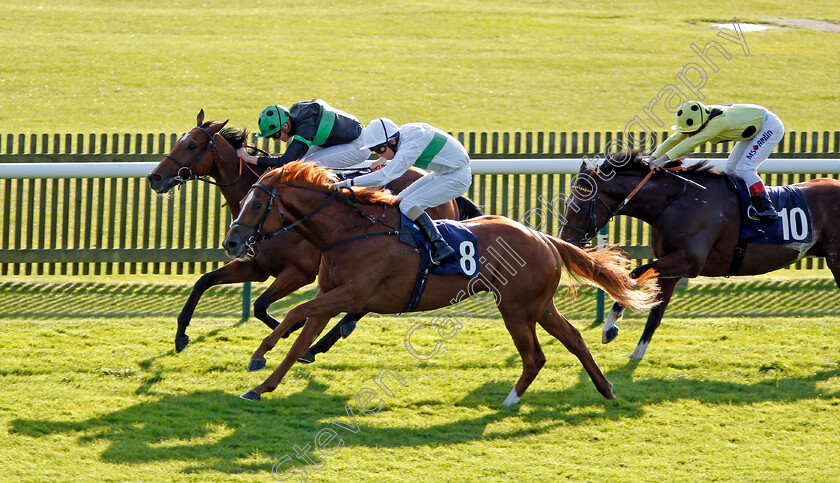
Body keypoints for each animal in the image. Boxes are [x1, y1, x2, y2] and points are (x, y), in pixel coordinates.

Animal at [144, 111, 480, 358]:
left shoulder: (299, 271)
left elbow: (261, 306)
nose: (154, 177)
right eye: (179, 142)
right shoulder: (256, 266)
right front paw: (181, 335)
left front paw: (295, 328)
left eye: (191, 146)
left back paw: (325, 340)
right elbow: (204, 282)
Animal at [220, 162, 660, 404]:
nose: (231, 242)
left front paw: (259, 354)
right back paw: (605, 389)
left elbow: (294, 312)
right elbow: (299, 340)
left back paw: (510, 401)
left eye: (256, 204)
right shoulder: (332, 295)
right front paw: (262, 386)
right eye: (245, 202)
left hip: (517, 308)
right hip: (538, 305)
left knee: (536, 356)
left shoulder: (350, 294)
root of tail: (544, 237)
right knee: (573, 339)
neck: (349, 231)